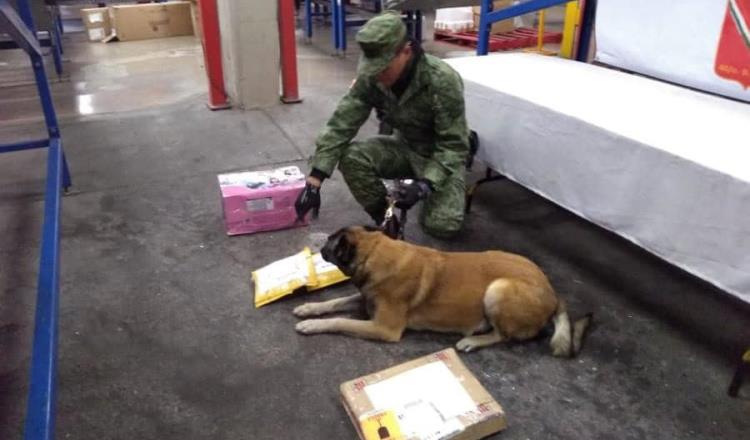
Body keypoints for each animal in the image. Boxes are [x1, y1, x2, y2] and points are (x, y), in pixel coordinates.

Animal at [294, 225, 592, 356]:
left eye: (331, 244)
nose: (322, 248)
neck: (374, 253)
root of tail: (553, 293)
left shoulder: (384, 328)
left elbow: (339, 320)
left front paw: (312, 325)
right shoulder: (364, 298)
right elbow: (335, 303)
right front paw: (309, 308)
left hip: (498, 289)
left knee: (504, 336)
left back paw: (474, 340)